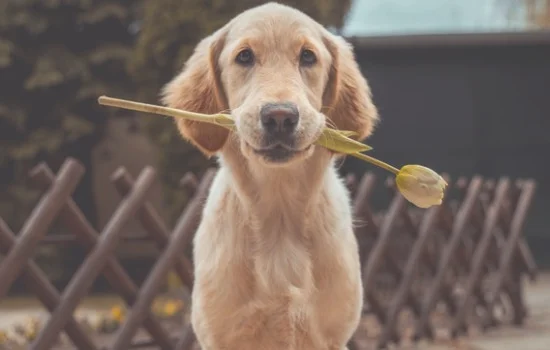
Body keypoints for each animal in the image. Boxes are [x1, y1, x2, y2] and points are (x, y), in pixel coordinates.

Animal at [163, 3, 380, 350]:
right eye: (244, 57)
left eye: (308, 57)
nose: (280, 117)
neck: (279, 215)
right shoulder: (220, 335)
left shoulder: (333, 336)